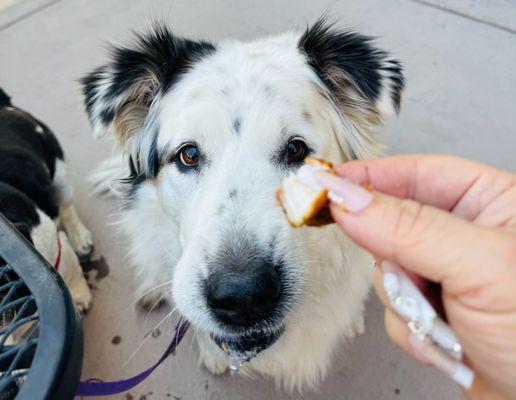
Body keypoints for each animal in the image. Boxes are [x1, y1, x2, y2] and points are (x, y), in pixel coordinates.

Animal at [0, 87, 92, 316]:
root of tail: (4, 107)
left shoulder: (50, 241)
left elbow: (66, 270)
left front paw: (78, 295)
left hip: (59, 173)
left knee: (66, 207)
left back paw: (80, 237)